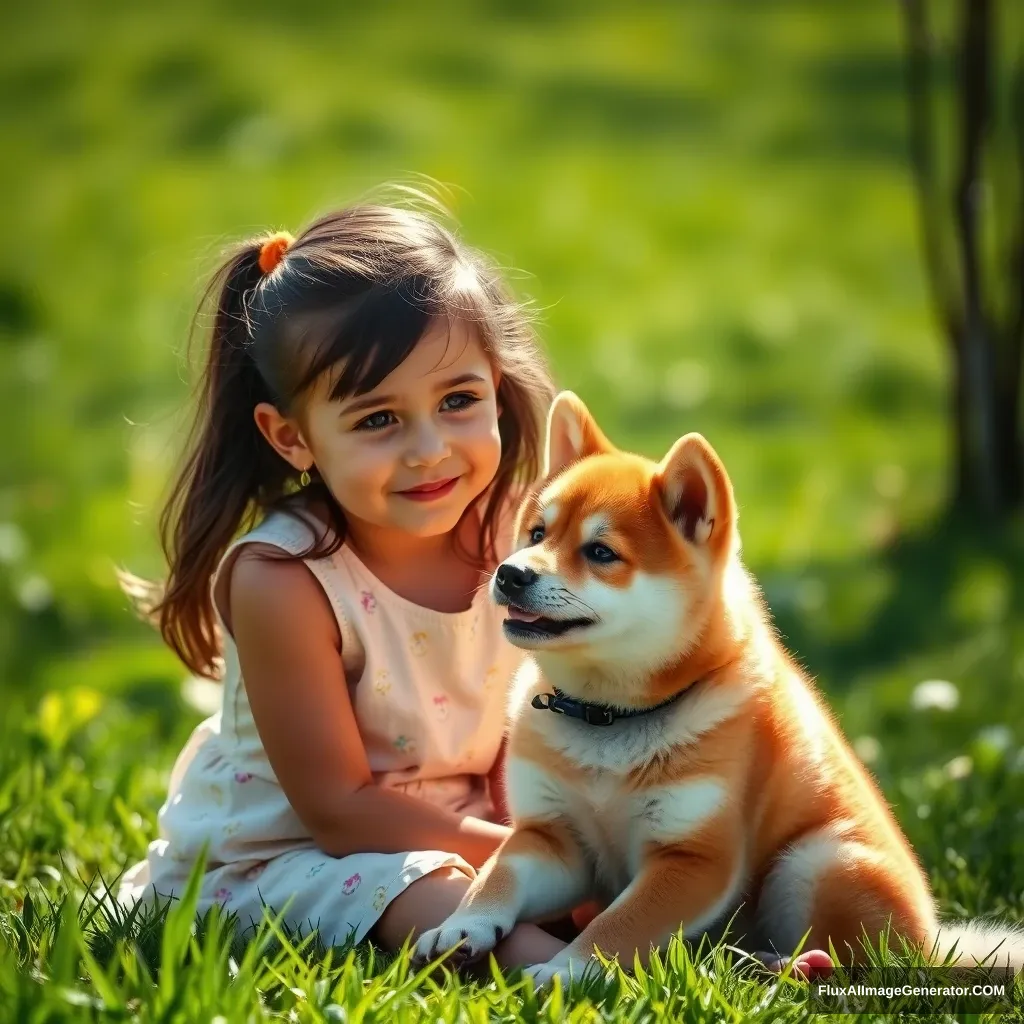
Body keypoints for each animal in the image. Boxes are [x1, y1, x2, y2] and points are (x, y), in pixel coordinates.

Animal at [411, 389, 1019, 983]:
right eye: (537, 533)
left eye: (601, 553)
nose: (511, 573)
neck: (609, 717)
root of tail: (935, 940)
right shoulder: (552, 836)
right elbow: (497, 876)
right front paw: (462, 926)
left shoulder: (694, 858)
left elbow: (617, 924)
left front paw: (565, 970)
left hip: (820, 861)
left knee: (857, 962)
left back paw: (789, 966)